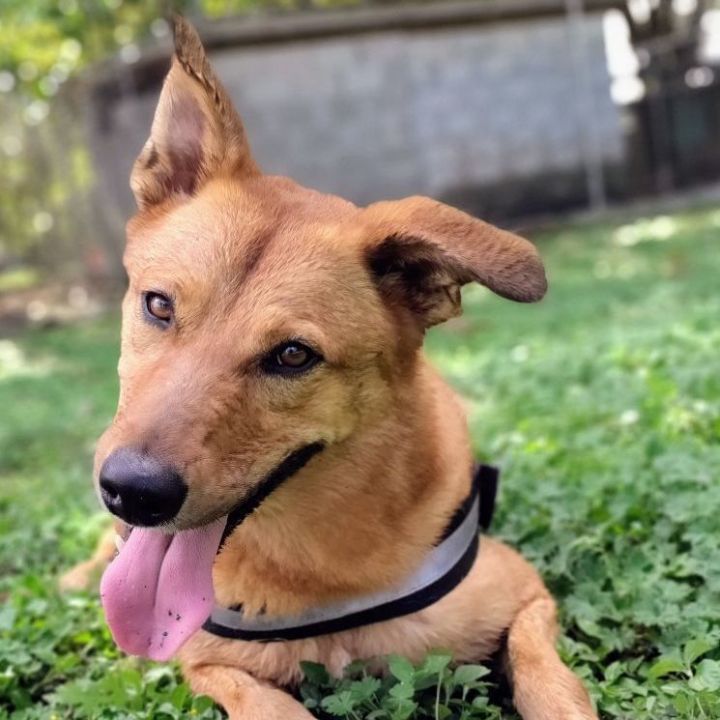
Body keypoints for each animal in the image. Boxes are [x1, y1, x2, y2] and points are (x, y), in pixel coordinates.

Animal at [66, 16, 596, 720]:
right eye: (158, 305)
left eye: (293, 355)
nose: (131, 491)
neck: (312, 571)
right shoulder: (205, 663)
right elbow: (269, 704)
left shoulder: (527, 593)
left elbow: (548, 675)